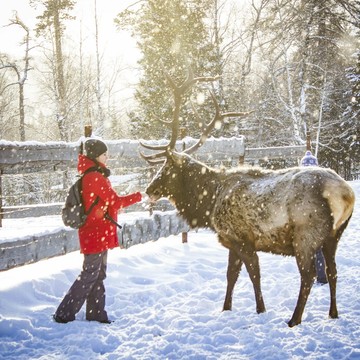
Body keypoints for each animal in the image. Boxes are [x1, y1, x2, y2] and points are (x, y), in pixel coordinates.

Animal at [140, 69, 354, 328]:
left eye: (166, 169)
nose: (149, 189)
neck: (209, 203)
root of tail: (346, 194)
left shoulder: (241, 237)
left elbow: (254, 274)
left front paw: (261, 309)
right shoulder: (232, 240)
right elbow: (231, 275)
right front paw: (225, 308)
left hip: (306, 234)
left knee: (309, 274)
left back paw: (294, 319)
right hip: (334, 235)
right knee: (333, 271)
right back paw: (333, 313)